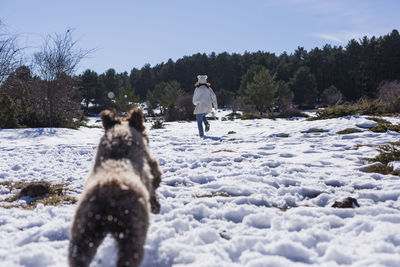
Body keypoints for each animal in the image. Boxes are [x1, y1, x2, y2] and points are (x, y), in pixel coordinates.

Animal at [69, 108, 161, 267]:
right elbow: (155, 180)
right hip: (133, 232)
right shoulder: (151, 167)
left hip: (84, 230)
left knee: (78, 255)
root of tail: (110, 192)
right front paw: (156, 206)